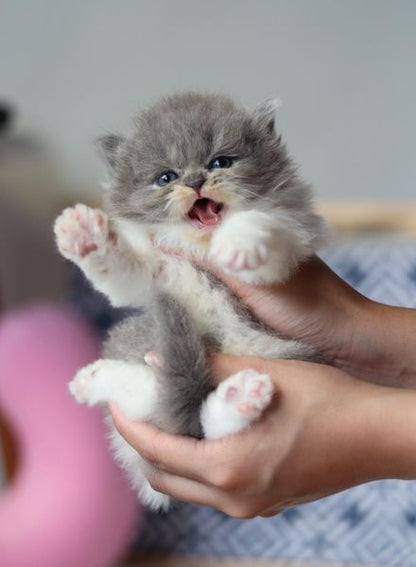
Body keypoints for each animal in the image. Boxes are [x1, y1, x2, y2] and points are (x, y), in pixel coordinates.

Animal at [53, 92, 328, 510]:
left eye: (220, 162)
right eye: (166, 177)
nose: (196, 181)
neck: (199, 245)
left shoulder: (292, 243)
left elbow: (263, 227)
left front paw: (240, 241)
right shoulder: (155, 273)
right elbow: (121, 270)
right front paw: (86, 236)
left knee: (200, 427)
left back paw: (239, 398)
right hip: (144, 336)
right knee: (162, 405)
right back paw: (95, 379)